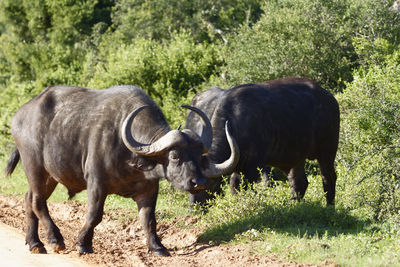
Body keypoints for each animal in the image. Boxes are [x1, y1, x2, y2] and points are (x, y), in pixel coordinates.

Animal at [4, 86, 239, 258]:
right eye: (174, 156)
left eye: (199, 156)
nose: (198, 182)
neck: (132, 157)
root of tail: (19, 116)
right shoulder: (96, 184)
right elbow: (95, 215)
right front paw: (83, 243)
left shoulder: (148, 190)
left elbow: (149, 220)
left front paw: (158, 247)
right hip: (34, 165)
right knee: (37, 201)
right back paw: (55, 239)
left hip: (51, 175)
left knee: (29, 199)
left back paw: (34, 242)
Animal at [186, 78, 340, 206]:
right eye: (190, 184)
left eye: (207, 185)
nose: (194, 207)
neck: (235, 123)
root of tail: (329, 98)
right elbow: (235, 186)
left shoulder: (254, 166)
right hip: (294, 157)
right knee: (299, 182)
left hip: (327, 151)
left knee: (328, 177)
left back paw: (329, 207)